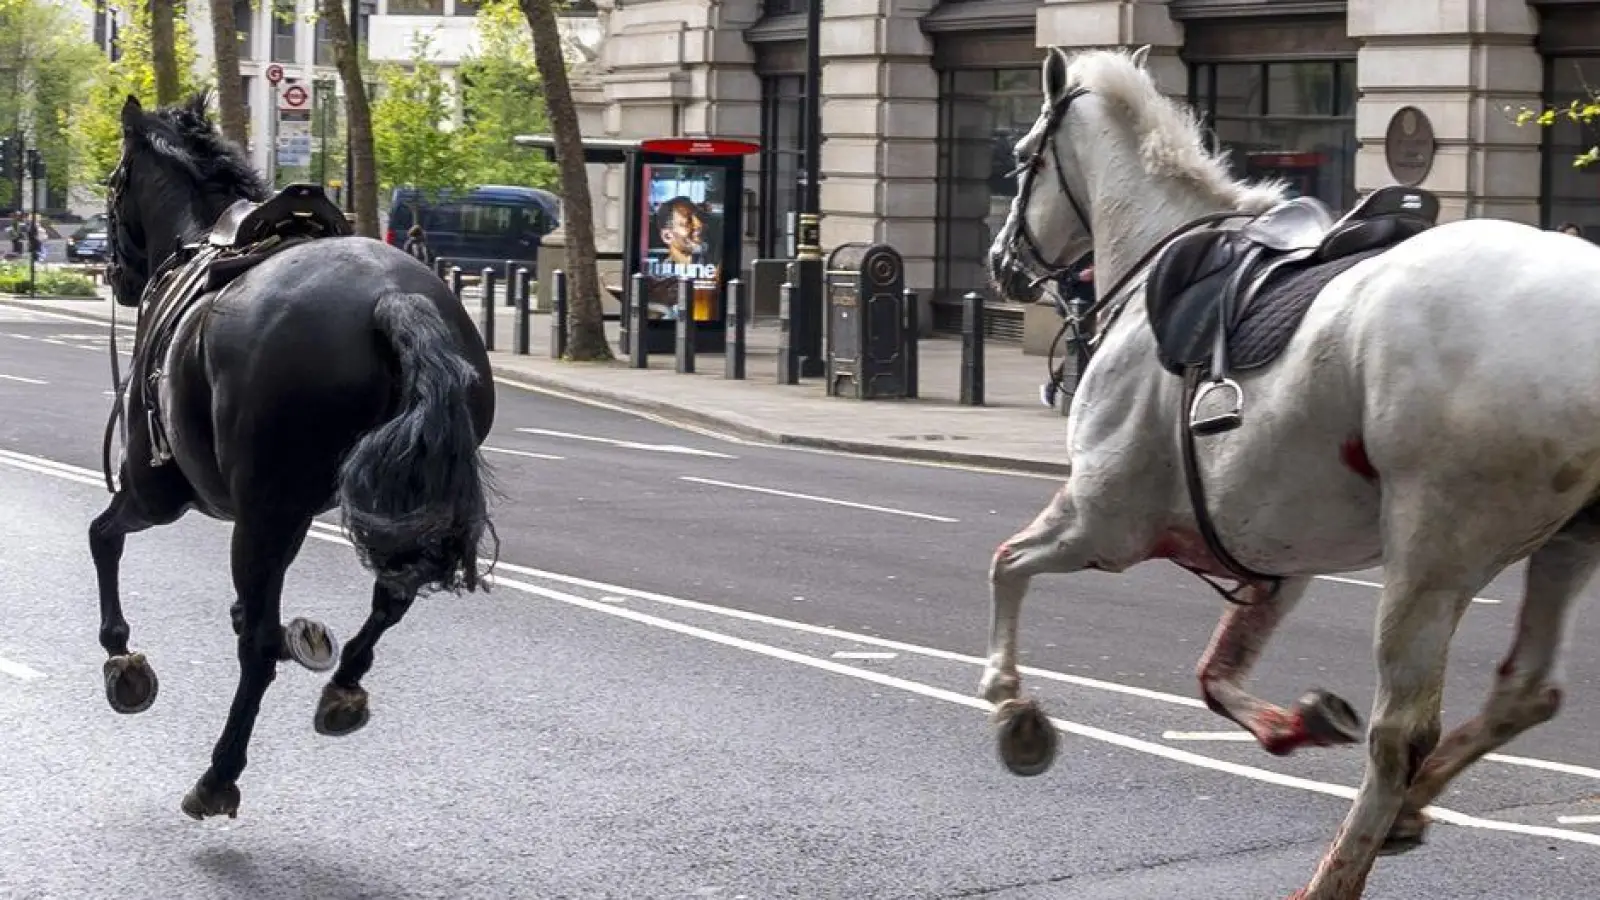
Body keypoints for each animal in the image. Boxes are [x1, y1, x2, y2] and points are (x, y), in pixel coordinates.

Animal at [95, 94, 492, 816]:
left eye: (114, 184)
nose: (117, 275)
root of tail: (391, 299)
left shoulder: (157, 488)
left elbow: (103, 537)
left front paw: (122, 656)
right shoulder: (295, 510)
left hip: (249, 512)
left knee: (256, 650)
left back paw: (218, 774)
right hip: (397, 499)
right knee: (392, 595)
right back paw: (343, 684)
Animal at [979, 43, 1600, 896]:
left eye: (1019, 160)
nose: (1001, 263)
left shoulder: (1103, 521)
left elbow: (1007, 565)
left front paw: (1012, 707)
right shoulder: (1273, 552)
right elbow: (1216, 673)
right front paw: (1293, 723)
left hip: (1434, 548)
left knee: (1401, 733)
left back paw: (1341, 869)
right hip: (1569, 538)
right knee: (1523, 691)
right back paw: (1408, 811)